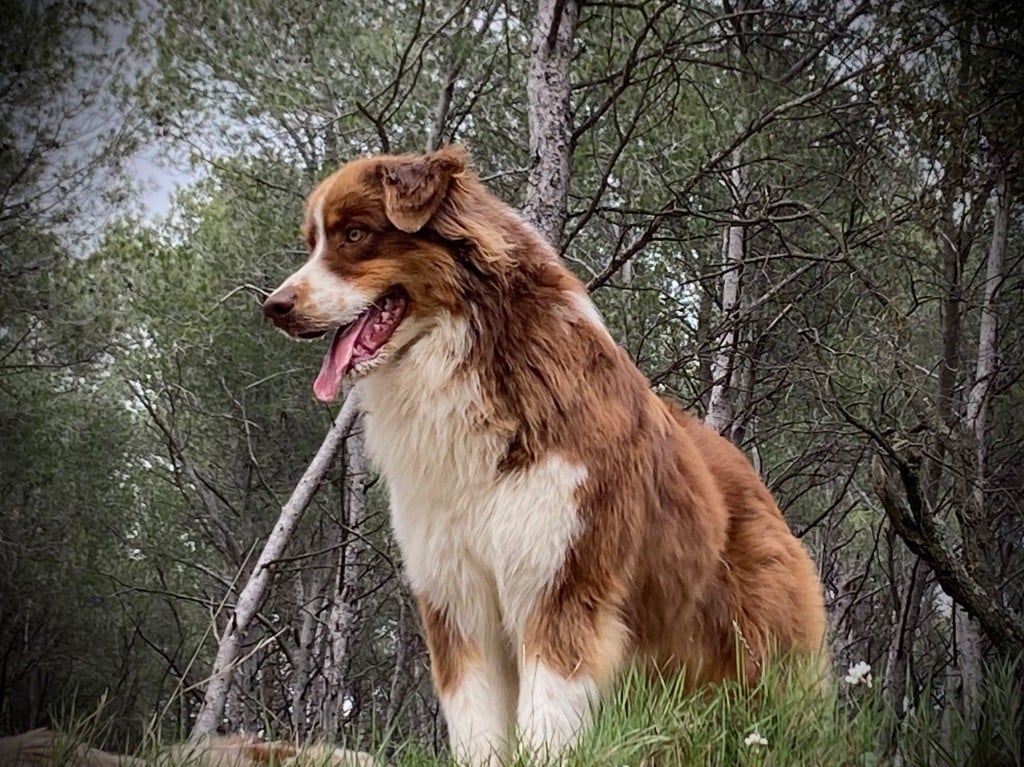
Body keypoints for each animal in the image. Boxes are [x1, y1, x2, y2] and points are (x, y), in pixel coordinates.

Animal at [262, 146, 823, 761]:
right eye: (312, 242)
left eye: (356, 234)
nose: (274, 306)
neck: (468, 363)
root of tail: (752, 478)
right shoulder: (457, 600)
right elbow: (476, 724)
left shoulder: (560, 585)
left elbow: (548, 720)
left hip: (761, 657)